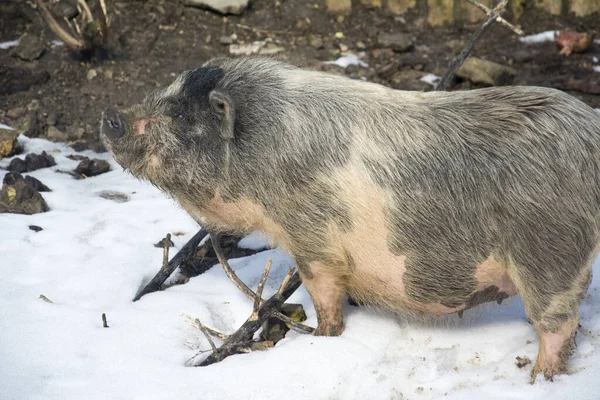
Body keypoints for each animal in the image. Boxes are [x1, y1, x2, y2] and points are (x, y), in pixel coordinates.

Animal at [101, 56, 600, 382]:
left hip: (552, 250)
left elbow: (322, 290)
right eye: (163, 94)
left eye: (178, 114)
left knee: (558, 322)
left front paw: (323, 336)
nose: (110, 115)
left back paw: (538, 379)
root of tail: (591, 137)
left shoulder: (311, 234)